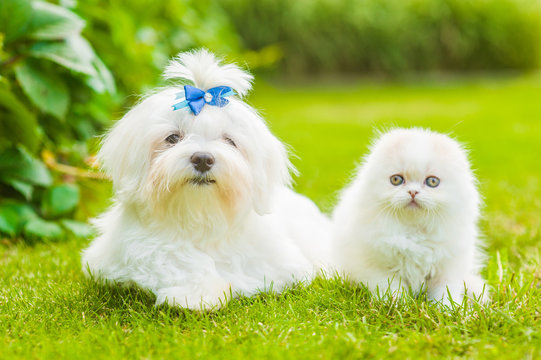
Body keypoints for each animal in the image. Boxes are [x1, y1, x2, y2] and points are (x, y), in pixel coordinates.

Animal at [332, 128, 488, 306]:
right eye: (396, 180)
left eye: (432, 182)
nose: (413, 192)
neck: (413, 232)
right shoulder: (378, 267)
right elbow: (392, 289)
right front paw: (397, 305)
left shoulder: (447, 268)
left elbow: (444, 293)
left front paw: (448, 310)